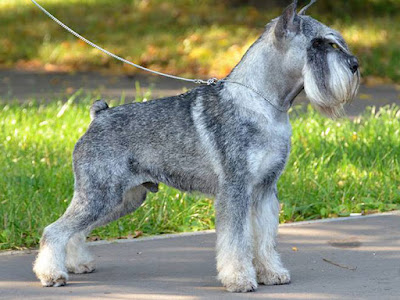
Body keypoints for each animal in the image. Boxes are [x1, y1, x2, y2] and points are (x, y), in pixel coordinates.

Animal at [33, 0, 360, 292]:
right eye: (317, 43)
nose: (355, 65)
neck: (263, 104)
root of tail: (98, 115)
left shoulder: (265, 190)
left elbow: (265, 238)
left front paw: (272, 272)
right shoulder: (235, 189)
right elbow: (236, 240)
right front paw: (239, 279)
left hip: (123, 199)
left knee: (77, 230)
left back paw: (77, 264)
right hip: (101, 194)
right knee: (54, 230)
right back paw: (52, 274)